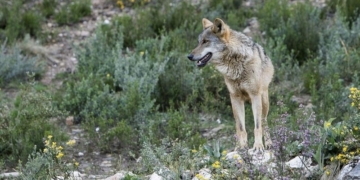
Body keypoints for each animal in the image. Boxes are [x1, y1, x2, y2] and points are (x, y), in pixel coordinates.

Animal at [187, 17, 274, 152]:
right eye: (199, 42)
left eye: (206, 41)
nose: (189, 56)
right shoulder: (235, 97)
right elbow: (241, 128)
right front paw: (242, 147)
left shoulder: (254, 95)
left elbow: (257, 126)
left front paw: (258, 146)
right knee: (238, 126)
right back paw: (237, 146)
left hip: (264, 101)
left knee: (264, 122)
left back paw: (269, 144)